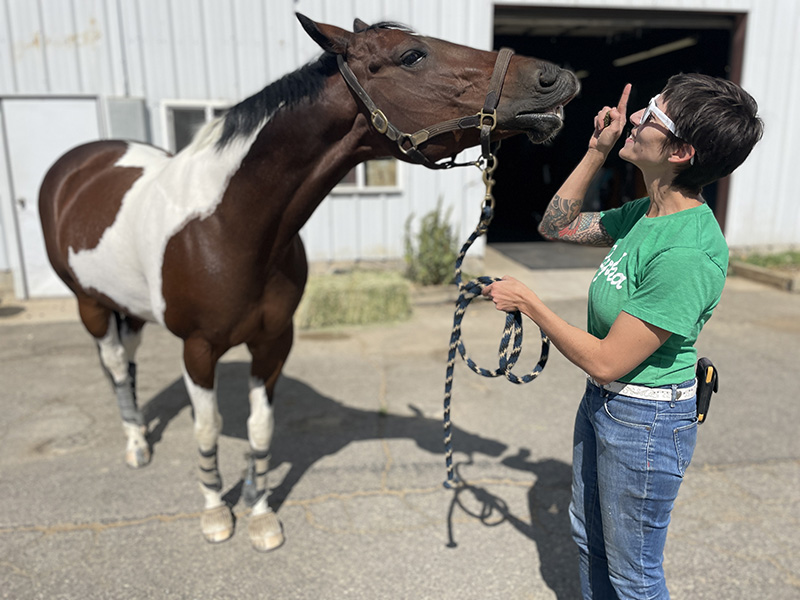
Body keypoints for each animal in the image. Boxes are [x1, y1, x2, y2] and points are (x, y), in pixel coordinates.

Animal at [37, 11, 580, 552]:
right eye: (411, 55)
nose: (555, 78)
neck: (230, 225)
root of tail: (78, 162)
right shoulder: (198, 349)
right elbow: (208, 428)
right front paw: (216, 512)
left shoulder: (274, 341)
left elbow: (260, 428)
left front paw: (259, 513)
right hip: (90, 303)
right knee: (113, 364)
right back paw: (135, 445)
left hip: (126, 306)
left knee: (126, 359)